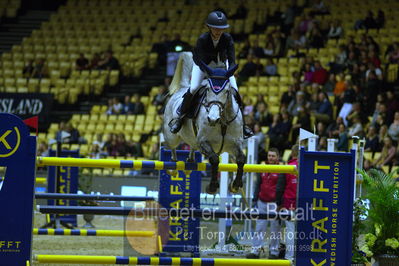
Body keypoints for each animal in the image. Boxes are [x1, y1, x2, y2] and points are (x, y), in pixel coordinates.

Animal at [162, 51, 247, 193]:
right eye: (207, 90)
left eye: (227, 91)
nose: (212, 119)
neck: (222, 122)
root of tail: (182, 89)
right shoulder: (203, 142)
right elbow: (214, 159)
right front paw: (212, 186)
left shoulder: (235, 144)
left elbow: (241, 159)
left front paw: (235, 185)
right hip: (172, 137)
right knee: (169, 146)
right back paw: (173, 167)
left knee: (191, 145)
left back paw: (190, 159)